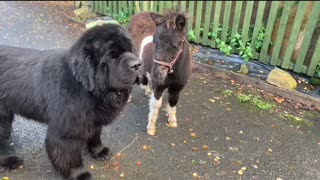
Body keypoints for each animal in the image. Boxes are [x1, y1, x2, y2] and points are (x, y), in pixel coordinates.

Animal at [0, 23, 141, 180]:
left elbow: (95, 135)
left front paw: (98, 151)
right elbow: (70, 156)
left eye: (131, 50)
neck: (85, 86)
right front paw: (79, 174)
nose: (137, 65)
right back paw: (9, 161)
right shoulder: (66, 132)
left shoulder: (92, 119)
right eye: (112, 56)